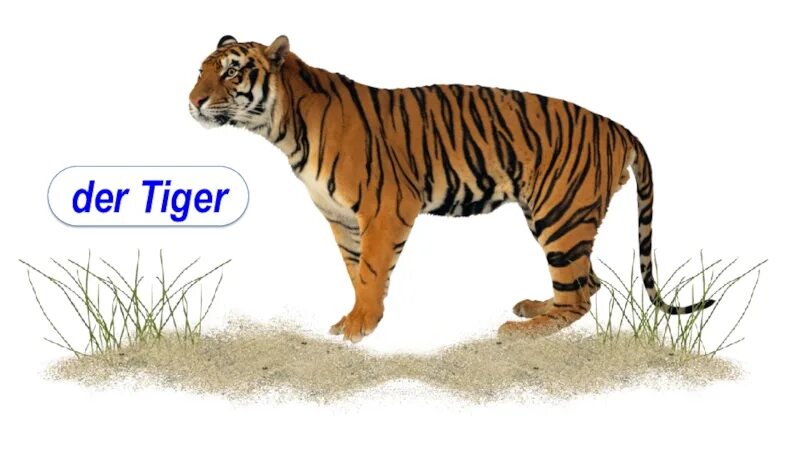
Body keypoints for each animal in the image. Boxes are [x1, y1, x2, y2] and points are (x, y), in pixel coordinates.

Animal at [189, 35, 714, 343]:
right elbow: (355, 271)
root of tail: (618, 126)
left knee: (579, 295)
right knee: (588, 283)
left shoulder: (385, 208)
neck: (283, 128)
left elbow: (372, 270)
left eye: (232, 71)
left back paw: (522, 329)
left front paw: (362, 325)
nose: (192, 101)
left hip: (560, 216)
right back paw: (532, 307)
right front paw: (354, 318)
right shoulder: (341, 219)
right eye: (202, 70)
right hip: (558, 217)